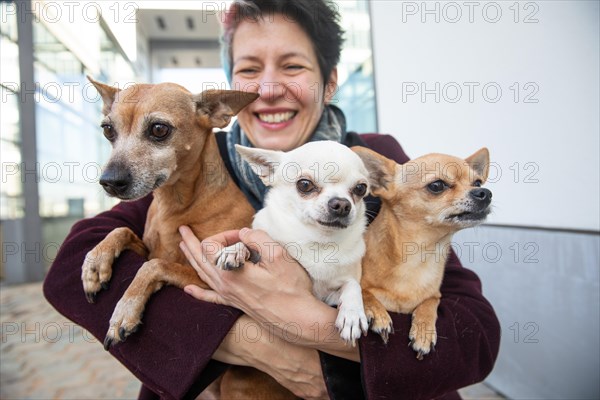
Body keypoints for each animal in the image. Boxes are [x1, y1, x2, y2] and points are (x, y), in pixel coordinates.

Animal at [354, 147, 490, 360]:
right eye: (437, 185)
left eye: (477, 182)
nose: (485, 192)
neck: (419, 254)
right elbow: (364, 291)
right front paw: (377, 312)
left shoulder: (434, 295)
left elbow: (429, 304)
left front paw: (424, 331)